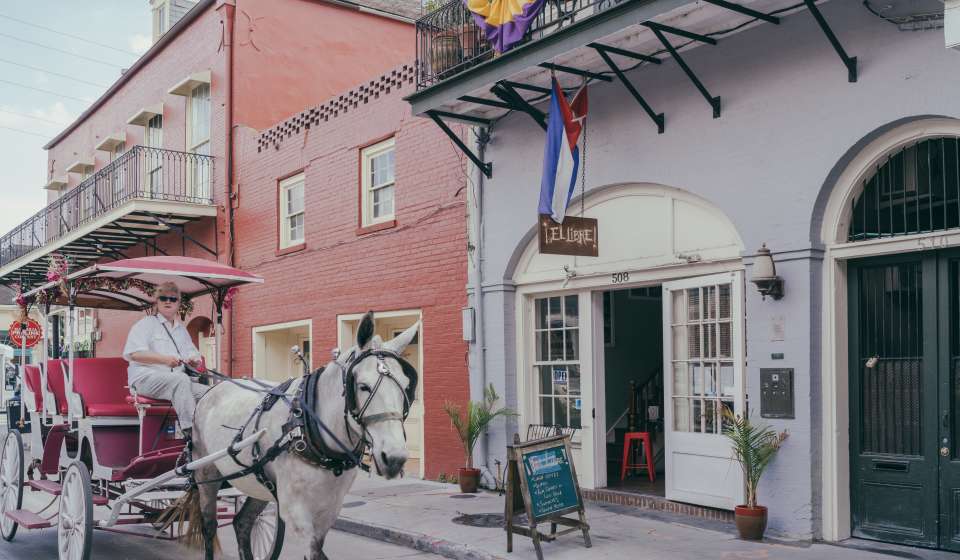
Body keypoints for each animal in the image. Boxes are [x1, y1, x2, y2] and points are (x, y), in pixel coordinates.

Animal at [186, 312, 414, 556]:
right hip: (205, 472)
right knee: (209, 526)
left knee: (242, 522)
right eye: (363, 386)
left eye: (407, 386)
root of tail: (211, 389)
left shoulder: (330, 507)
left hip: (258, 481)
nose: (395, 458)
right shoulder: (295, 511)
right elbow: (313, 551)